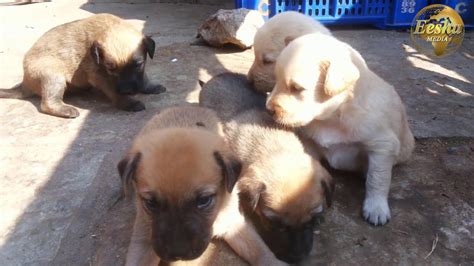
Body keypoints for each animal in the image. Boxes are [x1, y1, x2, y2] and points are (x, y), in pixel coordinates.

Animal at [0, 13, 167, 117]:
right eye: (110, 68)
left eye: (138, 64)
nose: (127, 91)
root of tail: (24, 83)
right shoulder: (99, 76)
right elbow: (114, 91)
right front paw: (127, 102)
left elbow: (144, 78)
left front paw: (150, 86)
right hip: (52, 76)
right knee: (47, 103)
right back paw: (65, 109)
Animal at [117, 106, 286, 266]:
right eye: (151, 203)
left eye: (204, 200)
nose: (178, 253)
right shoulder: (144, 238)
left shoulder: (234, 223)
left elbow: (258, 250)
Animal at [266, 32, 414, 225]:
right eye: (275, 79)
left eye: (297, 88)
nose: (268, 109)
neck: (332, 116)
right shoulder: (308, 141)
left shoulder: (382, 146)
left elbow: (377, 178)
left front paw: (376, 207)